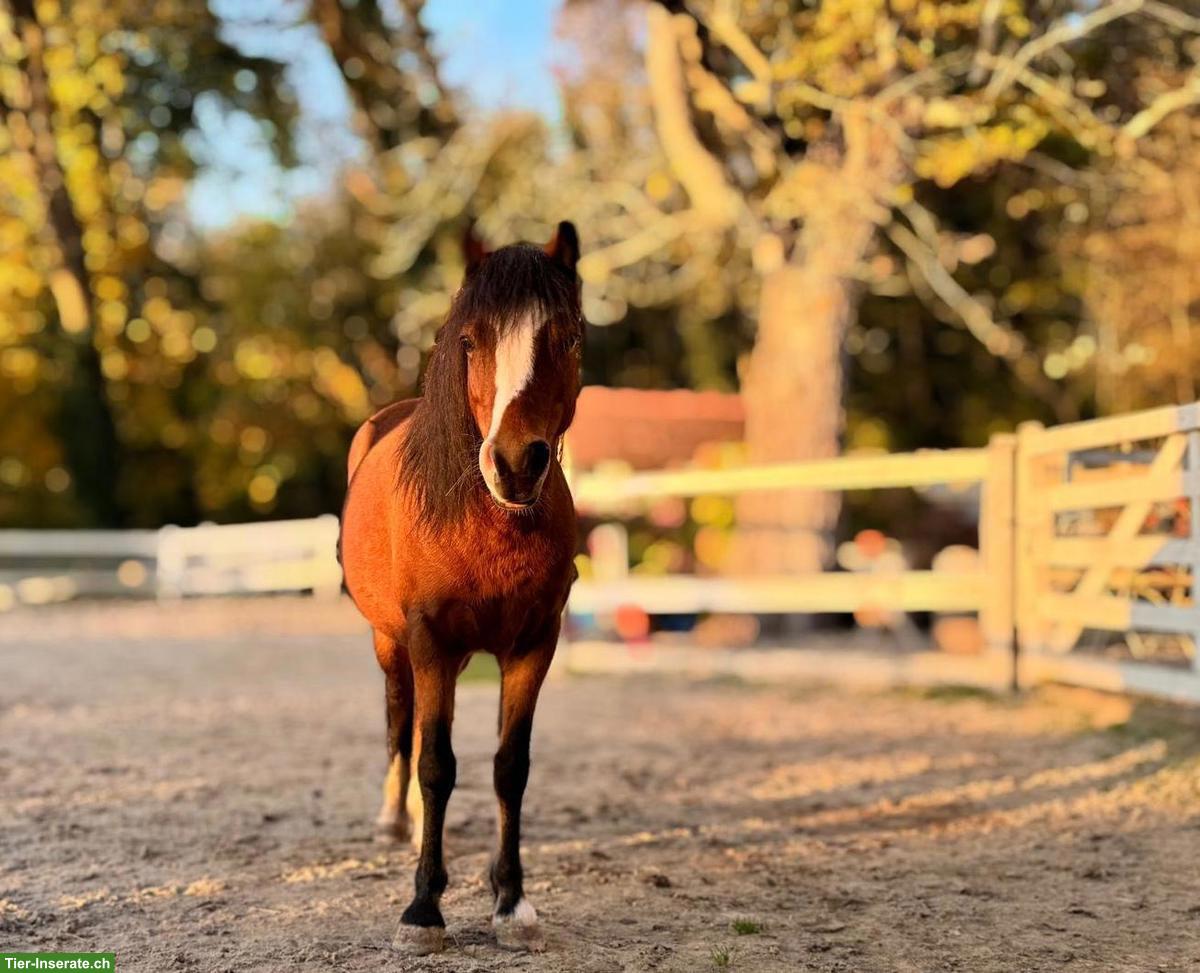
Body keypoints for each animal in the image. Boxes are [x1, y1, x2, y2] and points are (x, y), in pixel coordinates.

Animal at [338, 221, 583, 955]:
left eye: (567, 337)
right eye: (471, 341)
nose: (515, 462)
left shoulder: (534, 645)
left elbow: (509, 765)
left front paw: (511, 902)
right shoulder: (429, 640)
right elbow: (436, 765)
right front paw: (423, 908)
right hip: (391, 643)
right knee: (402, 725)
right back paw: (396, 822)